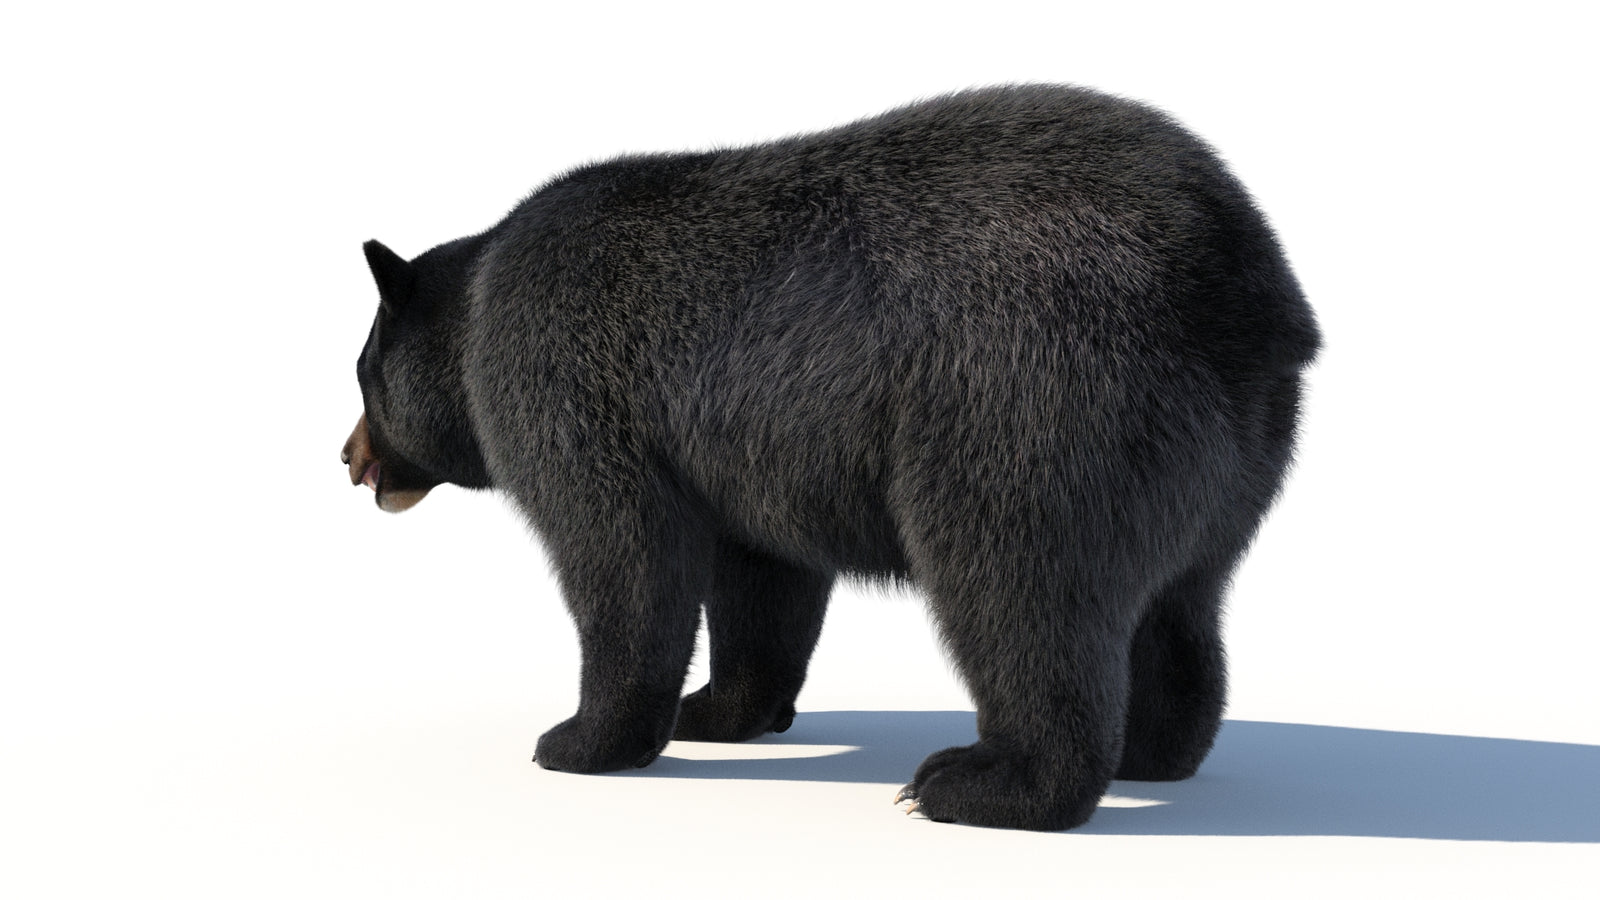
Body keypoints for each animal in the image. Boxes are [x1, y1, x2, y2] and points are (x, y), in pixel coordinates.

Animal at [340, 84, 1320, 831]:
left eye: (360, 371)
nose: (347, 458)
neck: (478, 311)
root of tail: (1247, 292)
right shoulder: (743, 453)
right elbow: (760, 581)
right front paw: (716, 710)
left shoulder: (570, 378)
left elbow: (623, 556)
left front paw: (578, 739)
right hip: (1225, 457)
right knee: (1182, 602)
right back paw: (1153, 751)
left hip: (1032, 405)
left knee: (1021, 588)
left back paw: (980, 784)